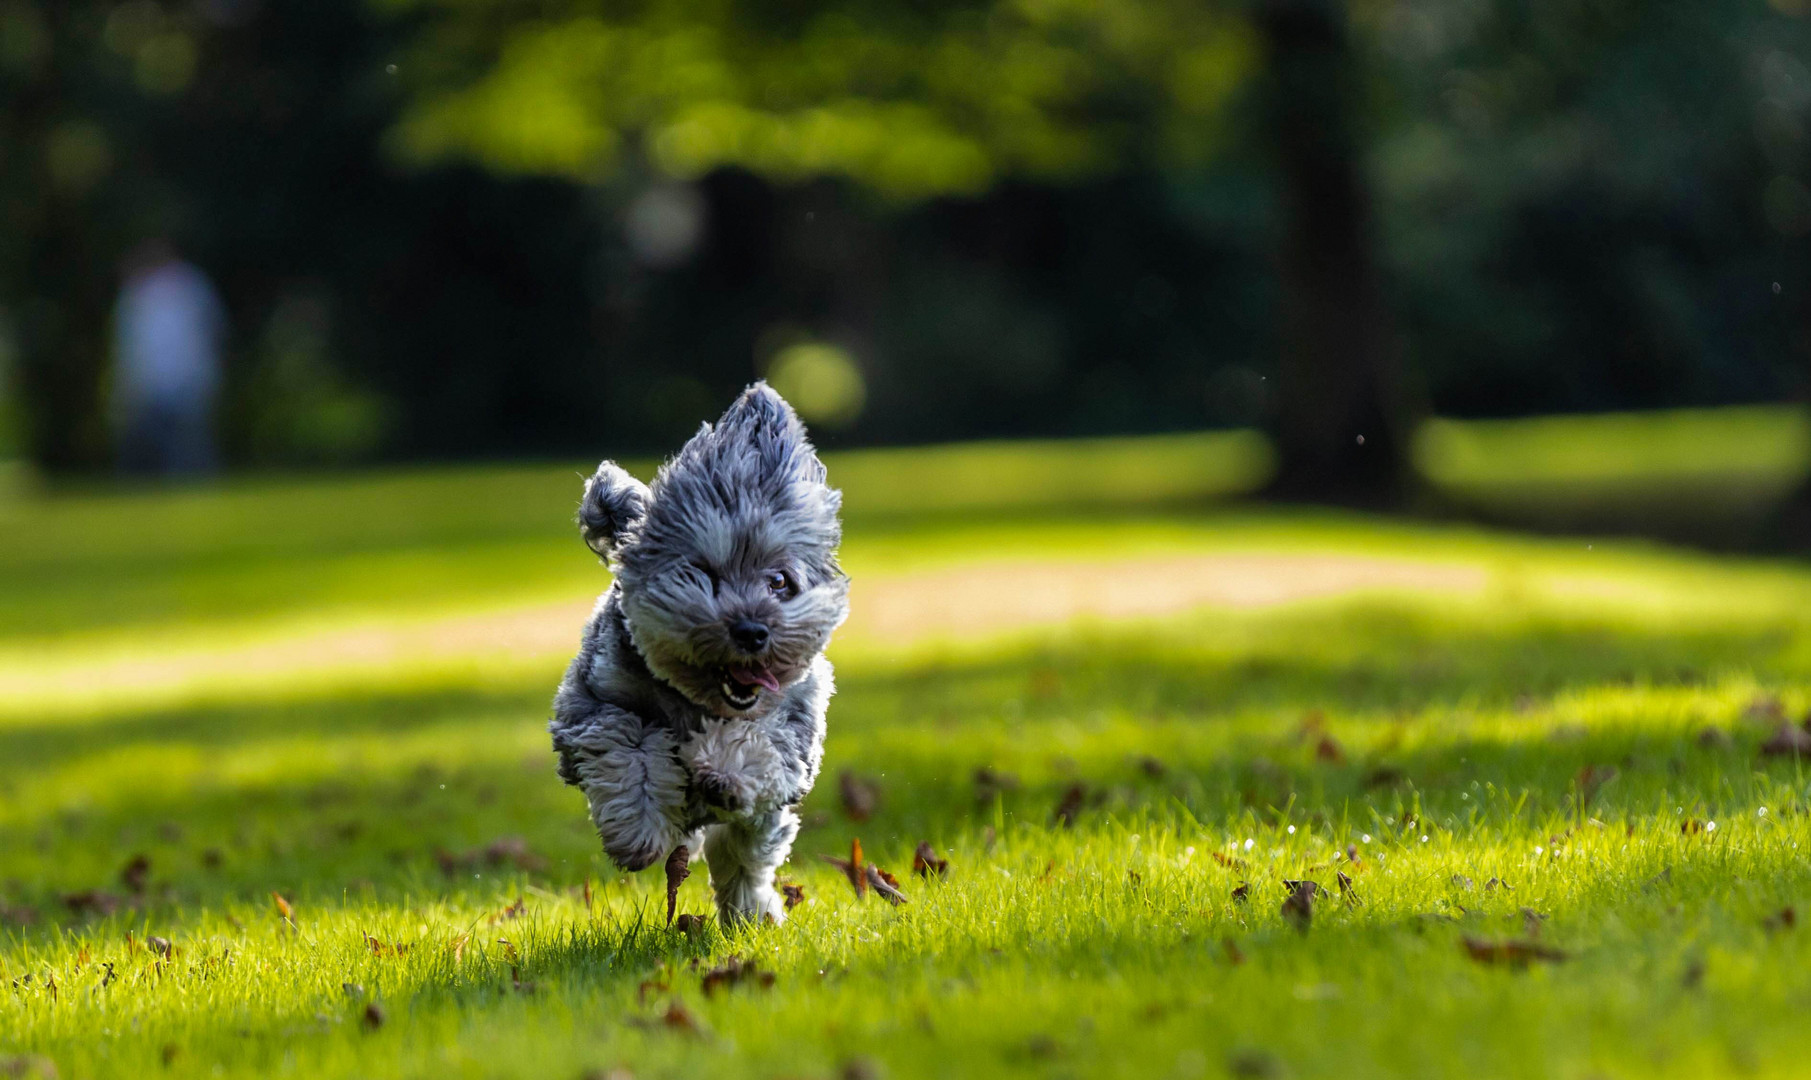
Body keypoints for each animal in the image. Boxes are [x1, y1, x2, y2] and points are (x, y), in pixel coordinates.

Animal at [546, 384, 851, 924]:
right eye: (702, 573)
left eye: (780, 581)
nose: (752, 630)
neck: (697, 701)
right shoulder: (590, 706)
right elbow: (628, 742)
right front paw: (638, 828)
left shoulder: (796, 734)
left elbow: (759, 743)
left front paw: (722, 770)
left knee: (744, 855)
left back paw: (752, 911)